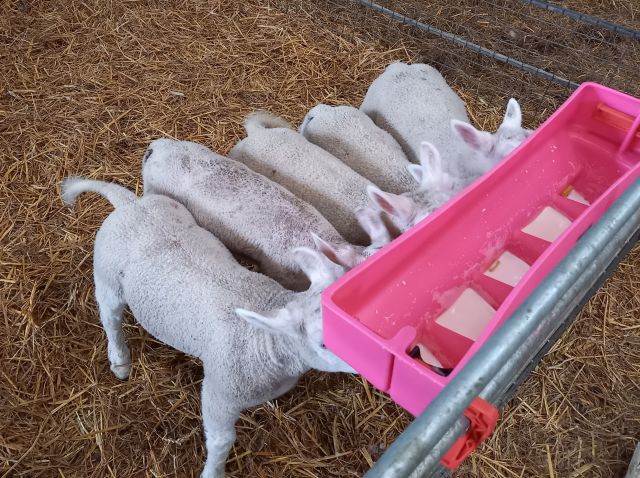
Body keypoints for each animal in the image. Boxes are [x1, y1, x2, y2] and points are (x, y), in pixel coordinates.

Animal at [60, 177, 355, 478]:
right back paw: (120, 360)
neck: (266, 339)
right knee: (110, 318)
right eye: (323, 343)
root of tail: (130, 204)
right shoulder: (220, 393)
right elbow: (221, 441)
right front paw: (213, 472)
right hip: (107, 277)